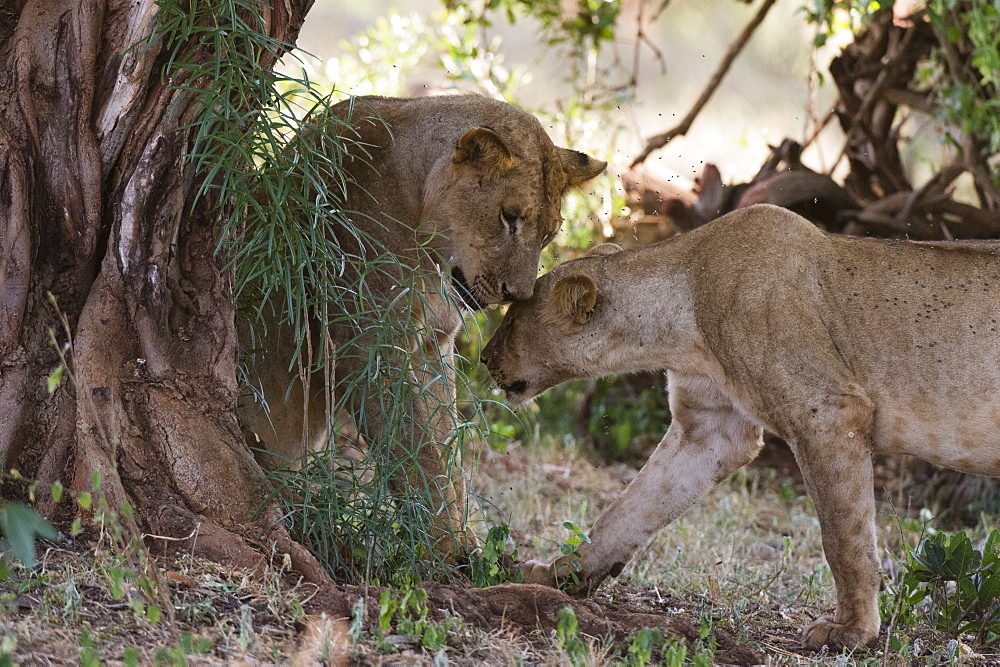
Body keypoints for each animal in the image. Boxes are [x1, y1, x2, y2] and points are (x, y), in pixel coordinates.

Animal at [238, 92, 604, 552]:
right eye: (509, 217)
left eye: (550, 234)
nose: (518, 295)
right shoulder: (366, 344)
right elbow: (414, 451)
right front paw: (446, 550)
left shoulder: (435, 344)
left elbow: (447, 448)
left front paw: (469, 542)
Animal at [482, 205, 1000, 652]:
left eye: (511, 319)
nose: (484, 357)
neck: (681, 311)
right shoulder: (711, 430)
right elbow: (628, 509)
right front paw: (559, 574)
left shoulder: (828, 411)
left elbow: (845, 539)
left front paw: (851, 631)